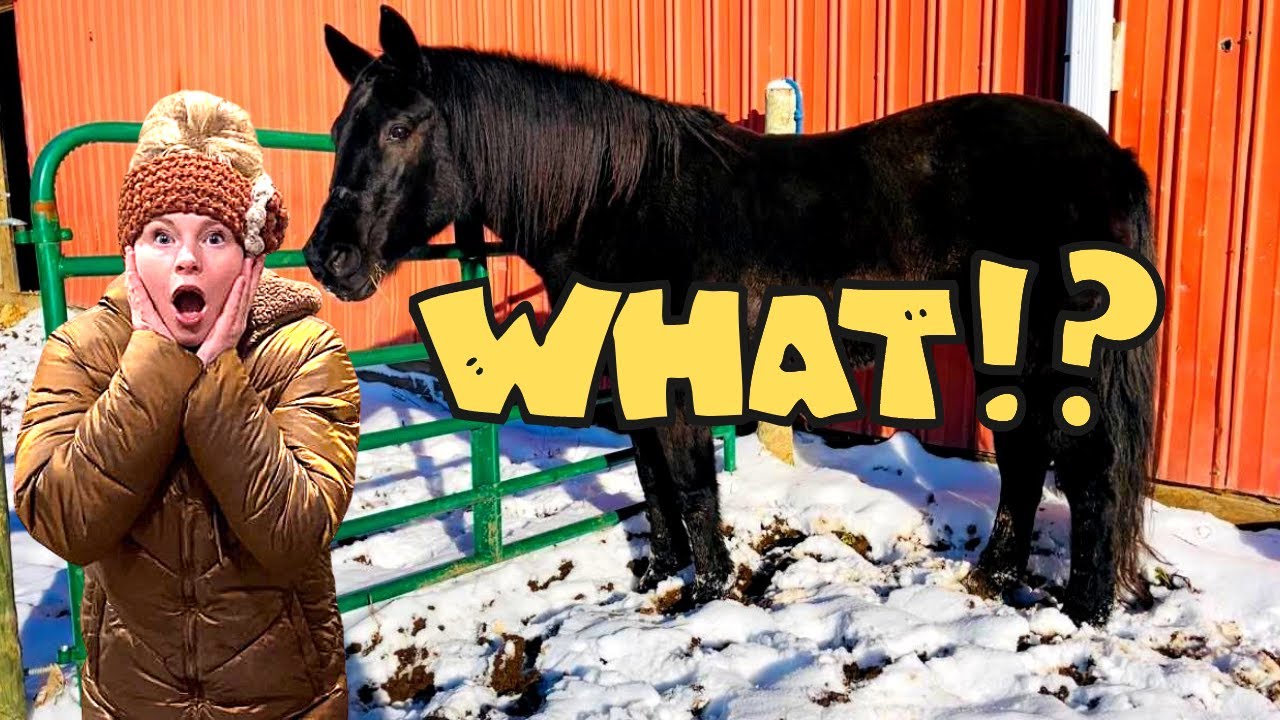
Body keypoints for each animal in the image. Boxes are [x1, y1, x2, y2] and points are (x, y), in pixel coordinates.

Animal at [305, 5, 1160, 626]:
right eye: (341, 129)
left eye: (401, 127)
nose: (326, 259)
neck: (617, 201)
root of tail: (1110, 158)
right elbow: (651, 480)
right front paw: (660, 574)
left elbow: (689, 485)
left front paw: (709, 596)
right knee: (1023, 455)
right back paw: (993, 577)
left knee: (1087, 473)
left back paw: (1085, 611)